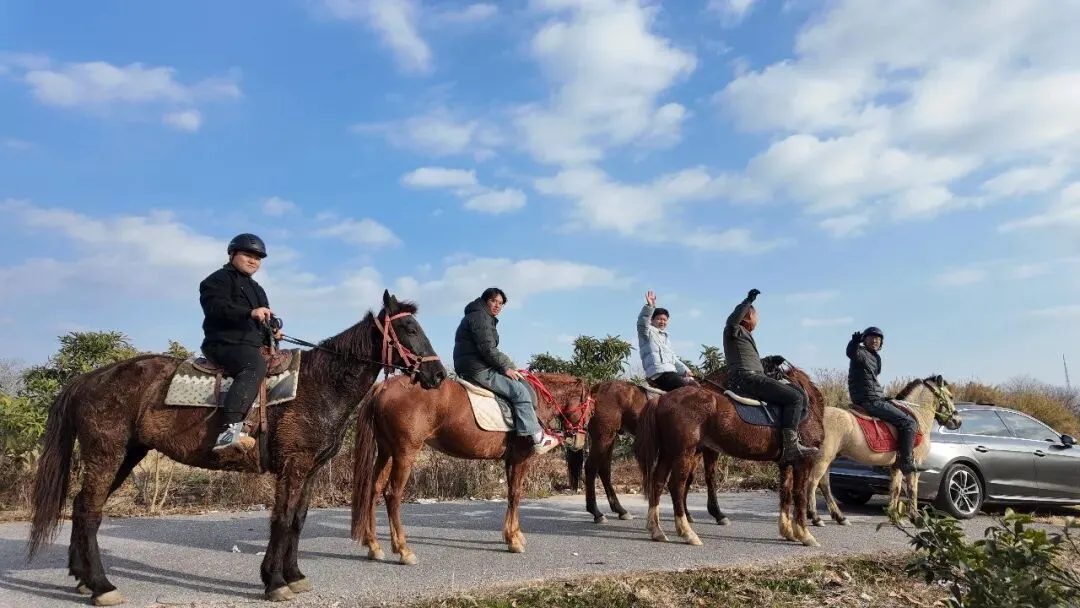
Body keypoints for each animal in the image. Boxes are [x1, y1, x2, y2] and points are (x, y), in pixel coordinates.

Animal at [26, 290, 446, 605]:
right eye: (409, 327)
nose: (438, 374)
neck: (319, 384)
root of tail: (89, 379)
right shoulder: (293, 467)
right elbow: (281, 520)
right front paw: (274, 582)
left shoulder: (308, 470)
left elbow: (297, 520)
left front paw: (293, 575)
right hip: (107, 455)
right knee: (89, 511)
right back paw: (102, 586)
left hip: (126, 456)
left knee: (82, 508)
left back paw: (83, 578)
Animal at [349, 370, 594, 564]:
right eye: (591, 410)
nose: (580, 442)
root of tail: (384, 386)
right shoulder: (520, 458)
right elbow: (516, 494)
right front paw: (514, 541)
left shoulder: (510, 460)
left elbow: (510, 495)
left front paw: (512, 535)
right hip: (405, 453)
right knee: (393, 494)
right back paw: (403, 550)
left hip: (386, 452)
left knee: (373, 489)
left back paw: (374, 546)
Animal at [567, 379, 732, 526]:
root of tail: (596, 390)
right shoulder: (708, 450)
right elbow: (709, 477)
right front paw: (717, 513)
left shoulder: (695, 451)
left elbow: (688, 479)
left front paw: (686, 513)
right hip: (604, 436)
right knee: (591, 467)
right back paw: (596, 512)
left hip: (610, 438)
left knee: (604, 470)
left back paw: (620, 510)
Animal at [634, 356, 825, 547]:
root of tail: (661, 399)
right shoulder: (804, 462)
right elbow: (800, 495)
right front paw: (805, 534)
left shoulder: (786, 463)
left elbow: (785, 493)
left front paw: (788, 532)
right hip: (683, 453)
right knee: (676, 486)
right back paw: (687, 532)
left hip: (669, 453)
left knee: (658, 483)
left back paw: (657, 530)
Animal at [807, 374, 960, 526]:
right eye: (951, 396)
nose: (958, 421)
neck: (917, 415)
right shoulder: (913, 465)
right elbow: (912, 490)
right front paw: (916, 518)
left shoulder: (896, 466)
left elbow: (895, 489)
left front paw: (895, 518)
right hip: (823, 458)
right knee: (812, 482)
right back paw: (816, 517)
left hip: (828, 458)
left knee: (825, 485)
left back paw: (839, 517)